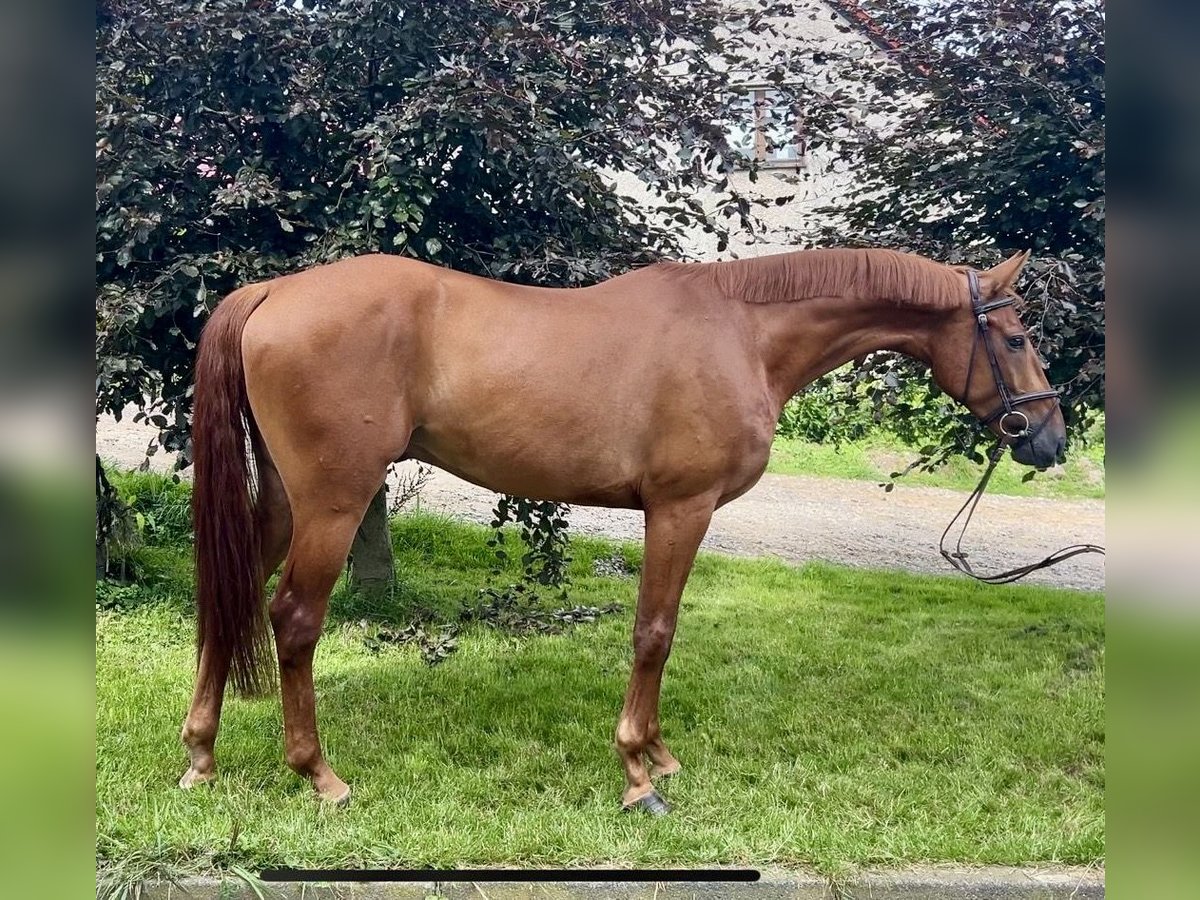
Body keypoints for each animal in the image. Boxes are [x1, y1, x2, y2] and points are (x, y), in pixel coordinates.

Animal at [177, 248, 1060, 816]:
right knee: (293, 620)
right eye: (1016, 338)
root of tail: (274, 293)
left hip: (284, 503)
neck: (741, 331)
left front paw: (660, 755)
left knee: (226, 603)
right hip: (333, 501)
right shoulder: (680, 507)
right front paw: (640, 774)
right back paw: (318, 775)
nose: (1048, 439)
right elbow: (653, 633)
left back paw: (201, 758)